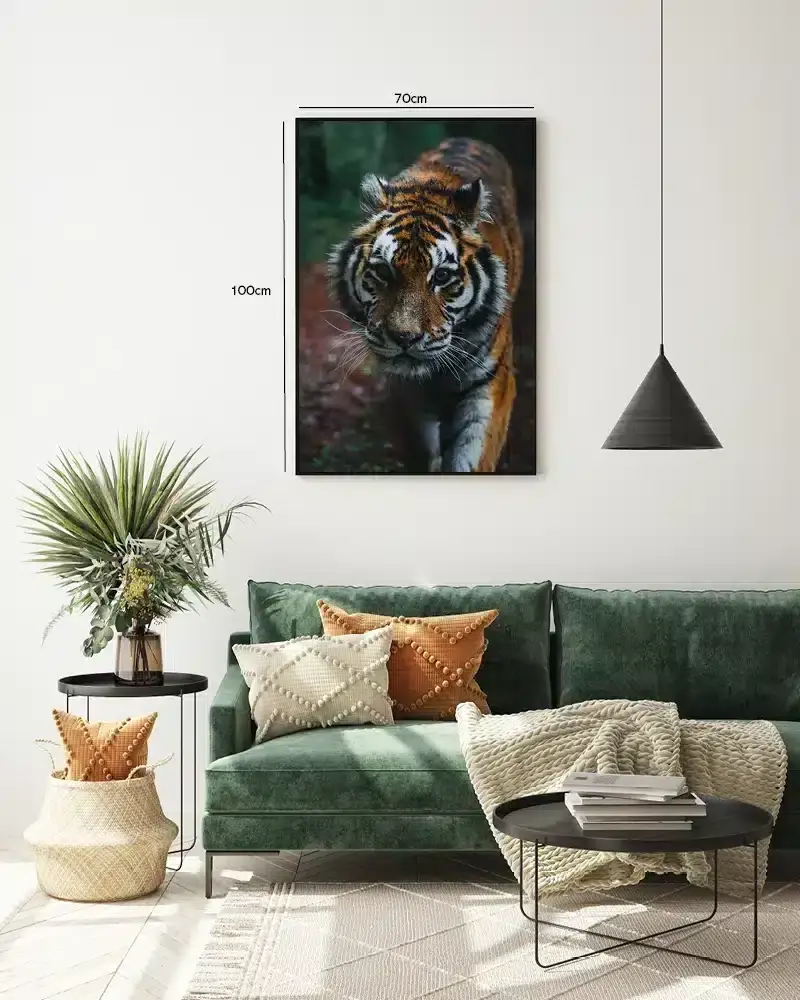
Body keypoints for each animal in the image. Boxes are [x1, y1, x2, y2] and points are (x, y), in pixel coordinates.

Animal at [328, 137, 524, 473]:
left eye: (442, 276)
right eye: (383, 272)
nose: (404, 338)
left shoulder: (491, 382)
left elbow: (473, 455)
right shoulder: (406, 391)